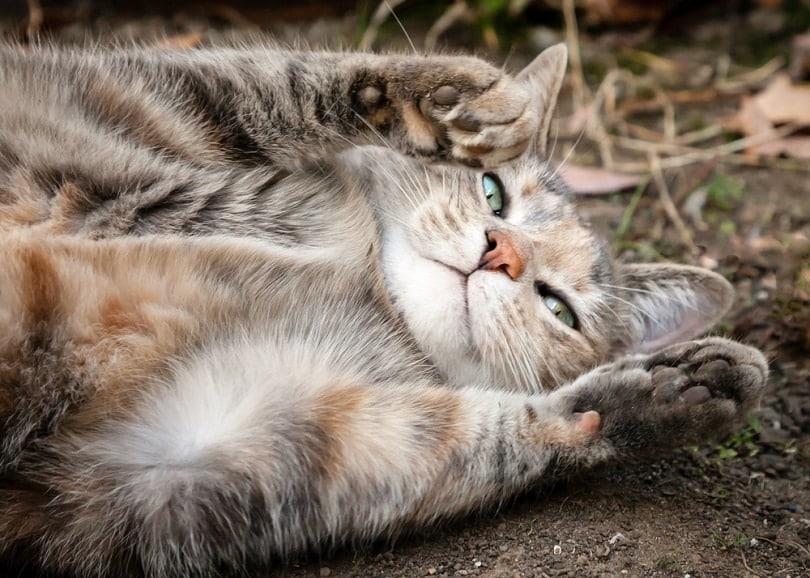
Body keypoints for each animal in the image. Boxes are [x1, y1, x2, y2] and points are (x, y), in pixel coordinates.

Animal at [0, 41, 764, 576]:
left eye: (560, 309)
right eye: (493, 193)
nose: (501, 256)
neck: (366, 279)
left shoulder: (211, 460)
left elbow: (485, 437)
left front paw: (668, 393)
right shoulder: (104, 95)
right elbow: (273, 77)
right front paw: (452, 97)